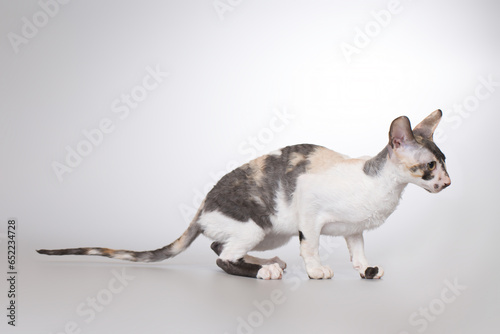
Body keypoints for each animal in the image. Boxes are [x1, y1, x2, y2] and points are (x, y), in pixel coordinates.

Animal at [37, 109, 452, 280]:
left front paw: (366, 269)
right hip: (258, 222)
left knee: (218, 246)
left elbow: (359, 251)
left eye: (445, 163)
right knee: (223, 258)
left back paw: (267, 262)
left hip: (270, 232)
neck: (381, 186)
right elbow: (312, 246)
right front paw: (316, 270)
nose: (448, 184)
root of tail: (201, 208)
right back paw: (264, 271)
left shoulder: (354, 229)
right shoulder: (309, 212)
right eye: (430, 166)